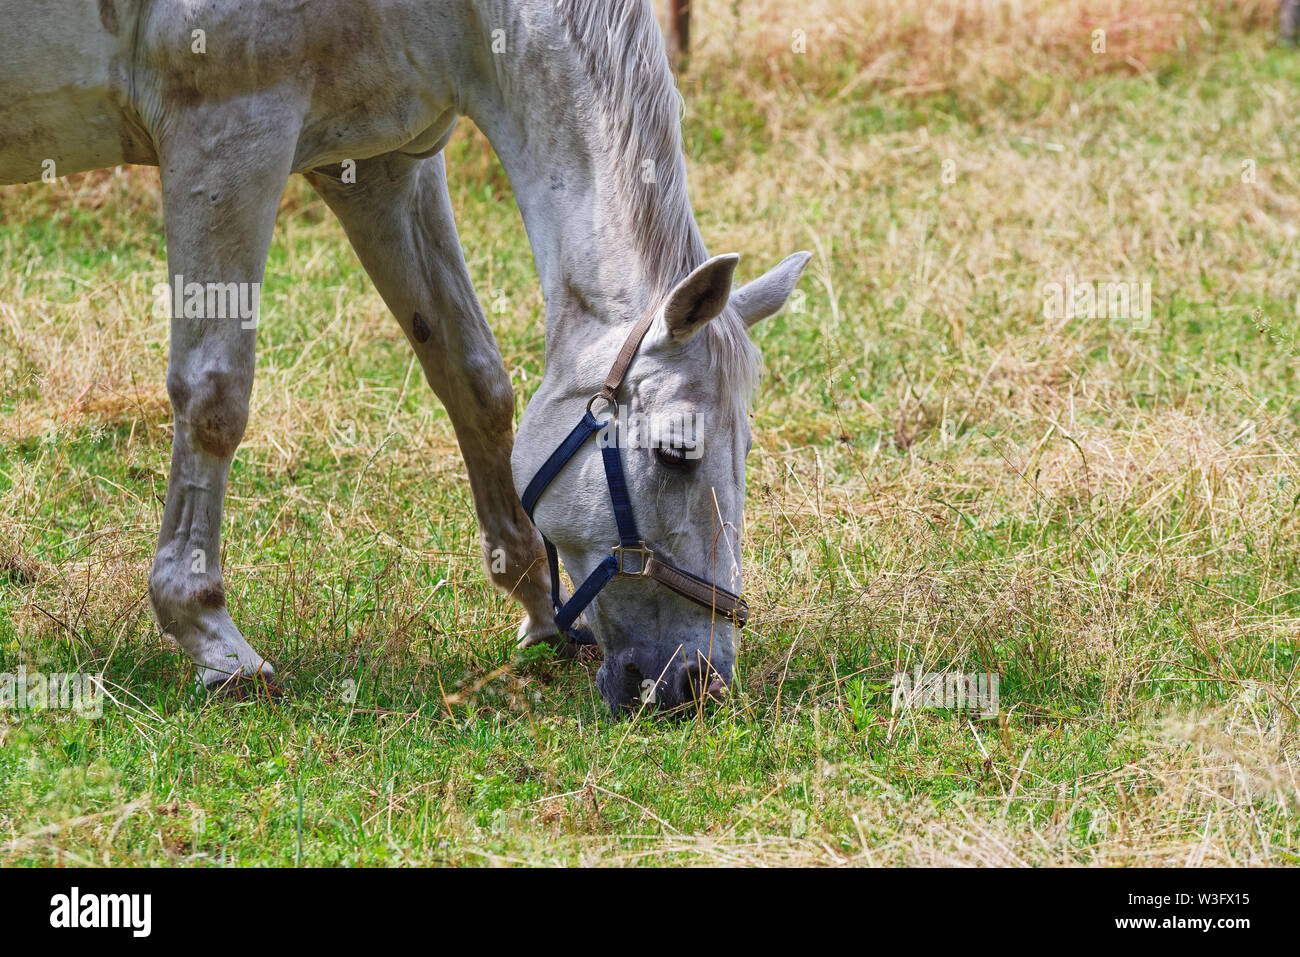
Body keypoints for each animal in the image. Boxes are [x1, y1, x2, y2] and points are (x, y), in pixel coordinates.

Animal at [0, 0, 809, 713]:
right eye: (676, 453)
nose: (698, 682)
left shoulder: (382, 164)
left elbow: (474, 378)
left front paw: (536, 601)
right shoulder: (226, 135)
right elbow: (213, 396)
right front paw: (210, 635)